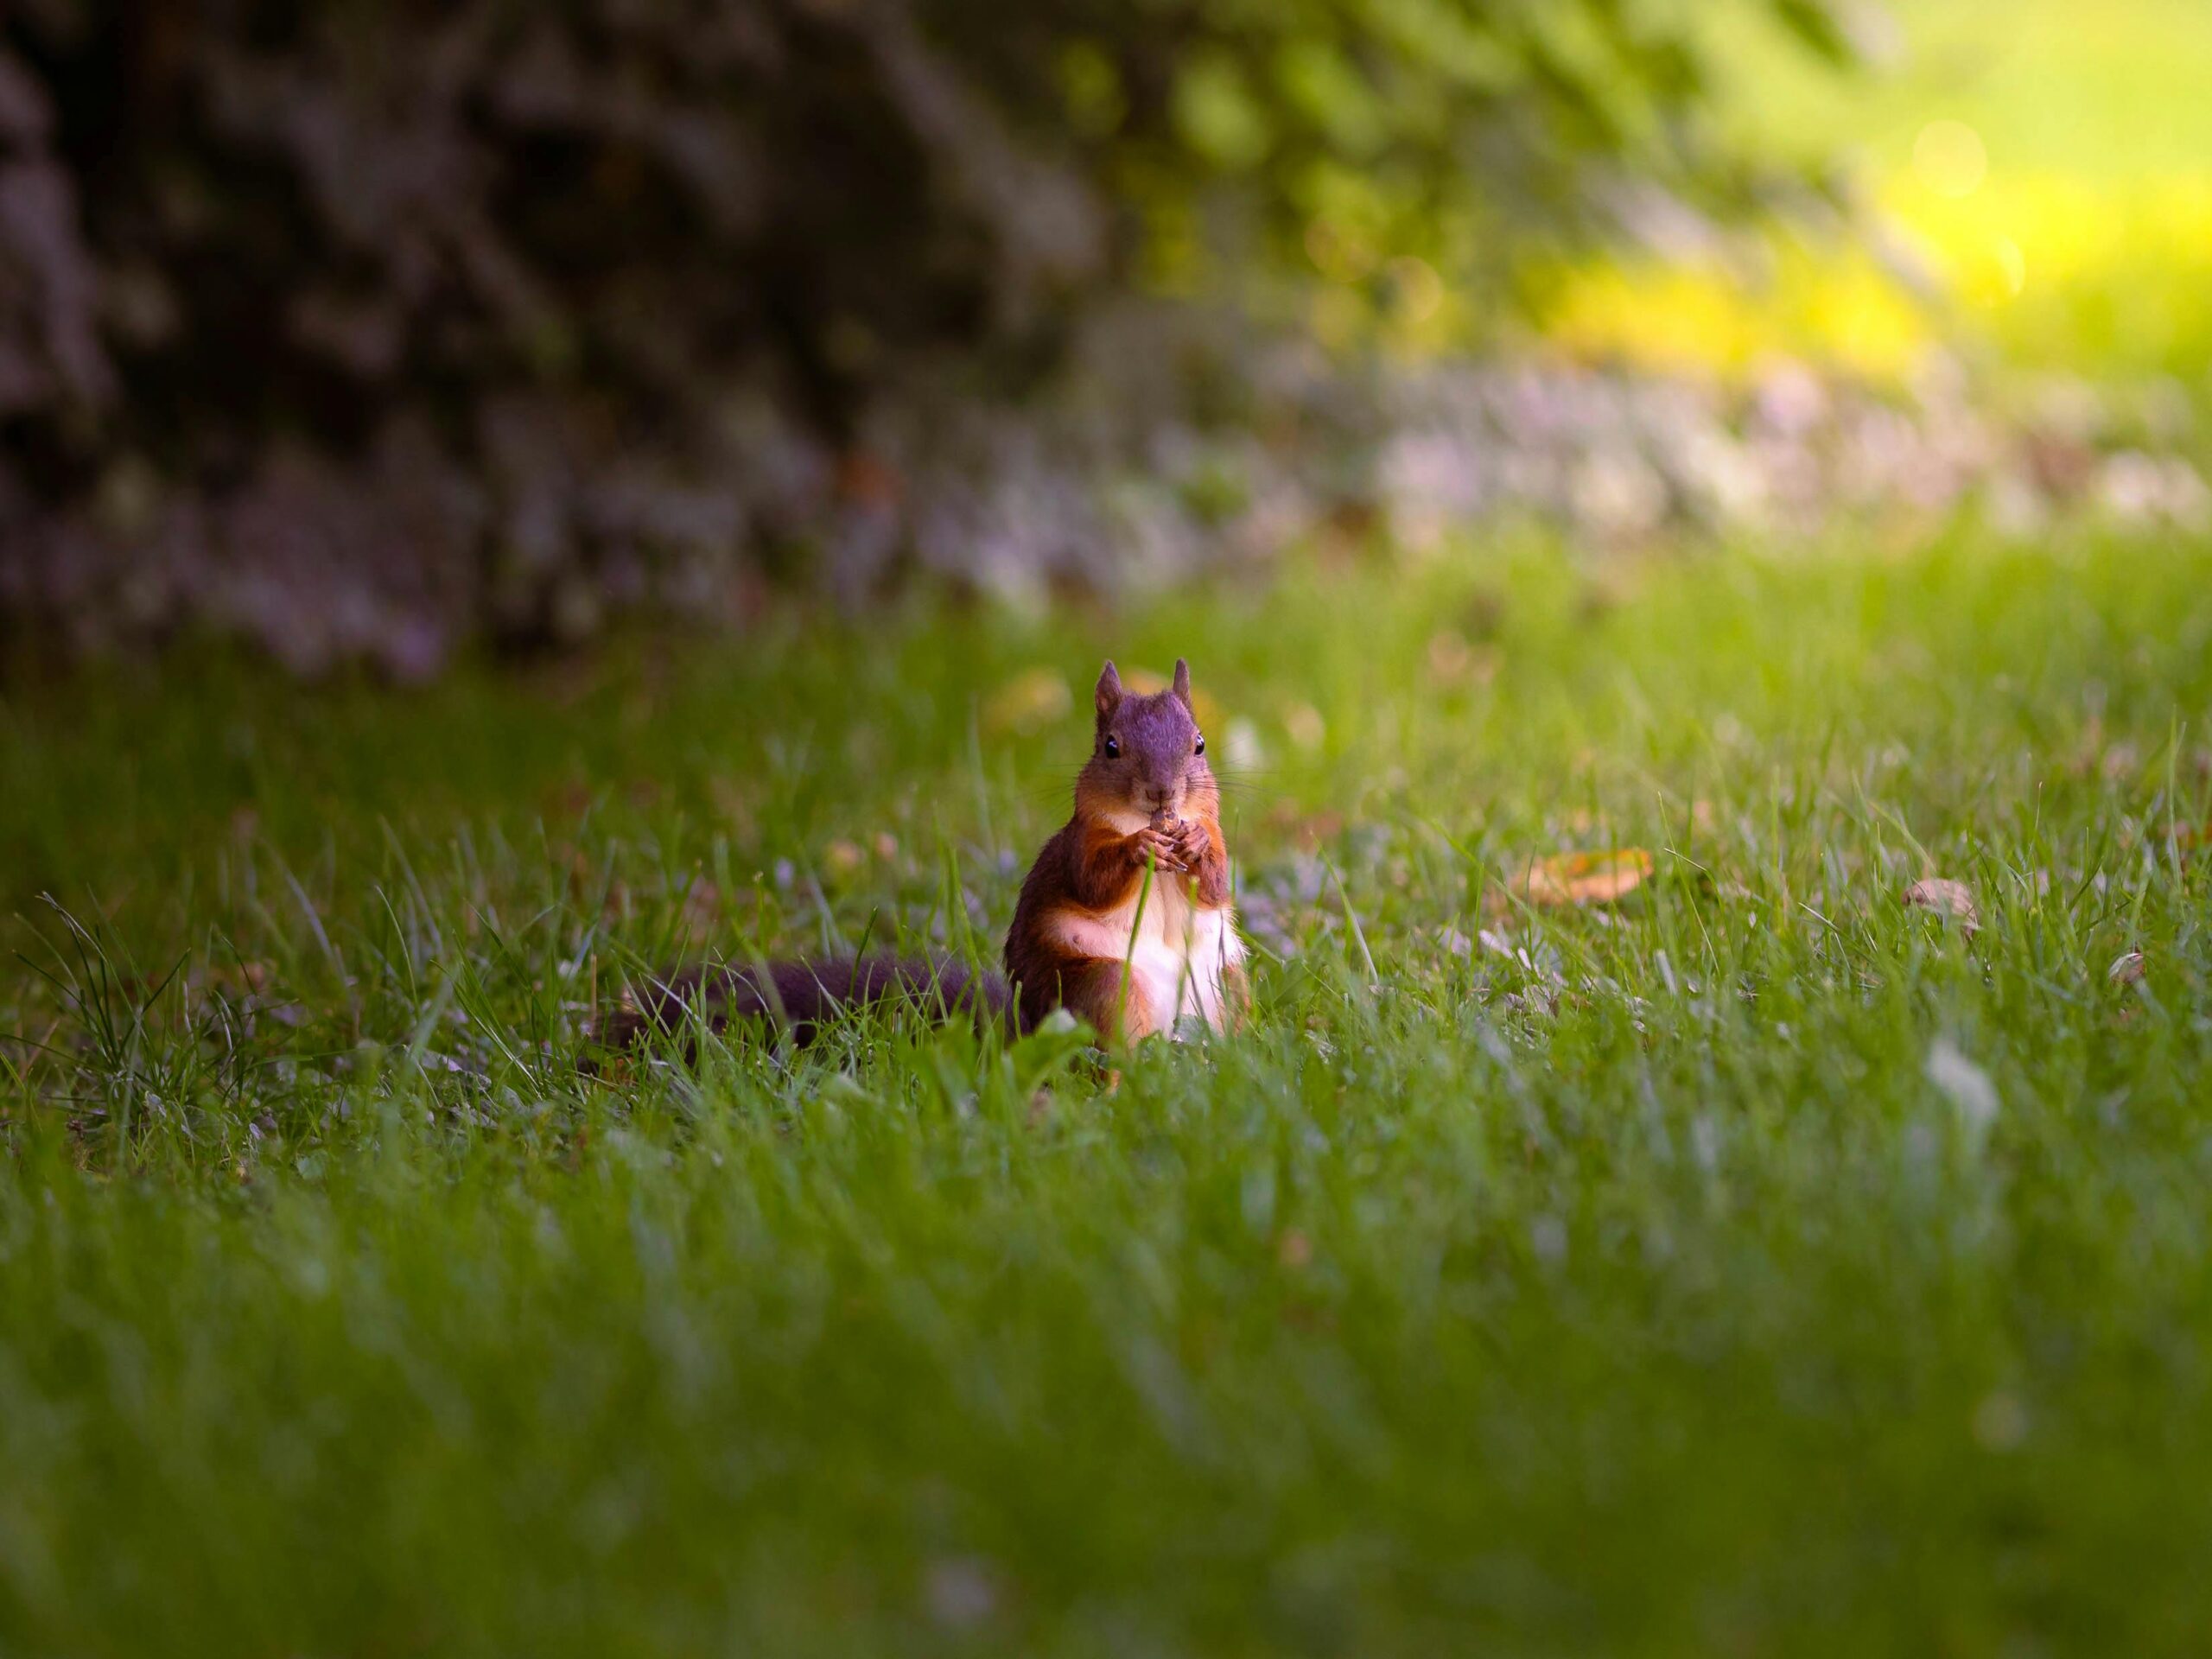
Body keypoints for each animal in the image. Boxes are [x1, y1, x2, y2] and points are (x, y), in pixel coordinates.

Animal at [598, 657, 1246, 1052]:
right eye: (1110, 748)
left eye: (1199, 745)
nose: (1162, 794)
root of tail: (1026, 1030)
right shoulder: (1078, 846)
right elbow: (1093, 880)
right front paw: (1141, 847)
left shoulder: (1216, 837)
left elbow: (1217, 882)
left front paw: (1191, 846)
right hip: (1104, 987)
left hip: (1225, 986)